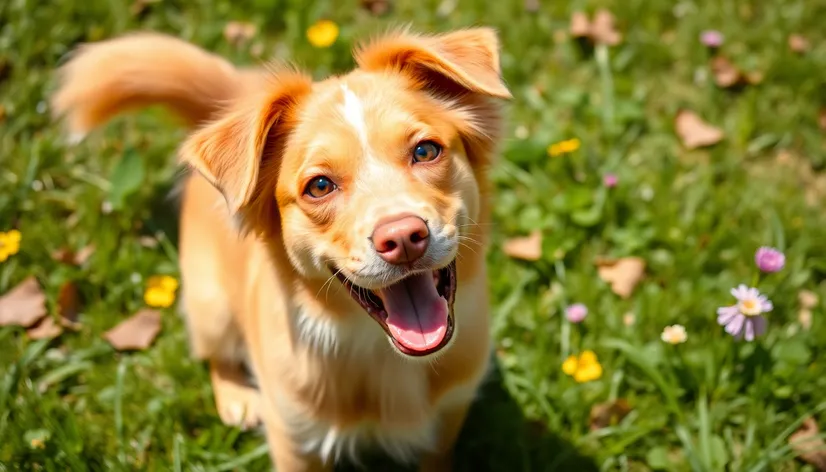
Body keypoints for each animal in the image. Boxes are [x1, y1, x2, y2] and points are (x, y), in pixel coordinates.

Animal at [51, 27, 508, 470]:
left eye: (425, 150)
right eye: (319, 186)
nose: (402, 238)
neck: (381, 355)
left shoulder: (449, 415)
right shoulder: (295, 437)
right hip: (210, 306)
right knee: (214, 352)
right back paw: (236, 396)